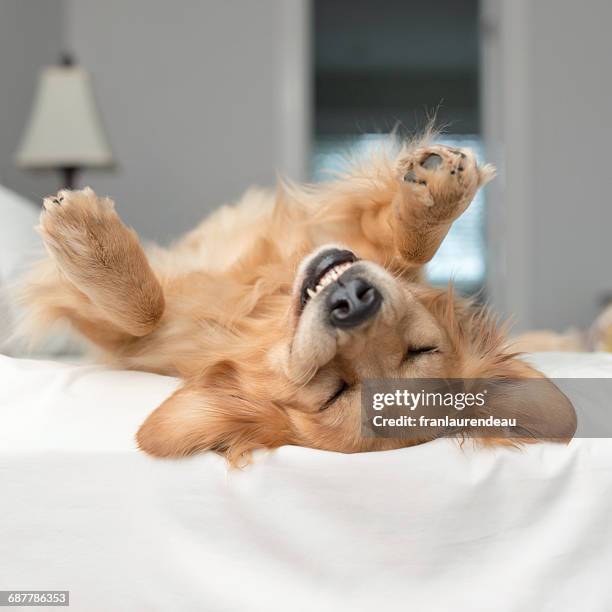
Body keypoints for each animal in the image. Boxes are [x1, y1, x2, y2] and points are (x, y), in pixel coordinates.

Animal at [17, 139, 572, 464]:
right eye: (425, 349)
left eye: (329, 391)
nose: (353, 299)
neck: (267, 298)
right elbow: (409, 246)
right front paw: (435, 190)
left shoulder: (125, 342)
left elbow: (141, 312)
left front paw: (82, 235)